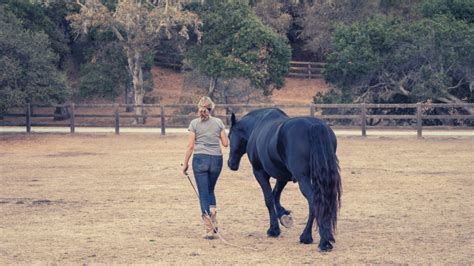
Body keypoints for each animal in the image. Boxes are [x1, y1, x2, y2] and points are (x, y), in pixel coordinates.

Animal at [229, 108, 342, 251]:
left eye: (229, 136)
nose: (231, 163)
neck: (257, 125)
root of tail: (314, 126)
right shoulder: (282, 175)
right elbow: (275, 194)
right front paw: (283, 215)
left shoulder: (259, 173)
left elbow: (269, 198)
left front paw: (274, 229)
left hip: (303, 180)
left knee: (313, 203)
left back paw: (312, 238)